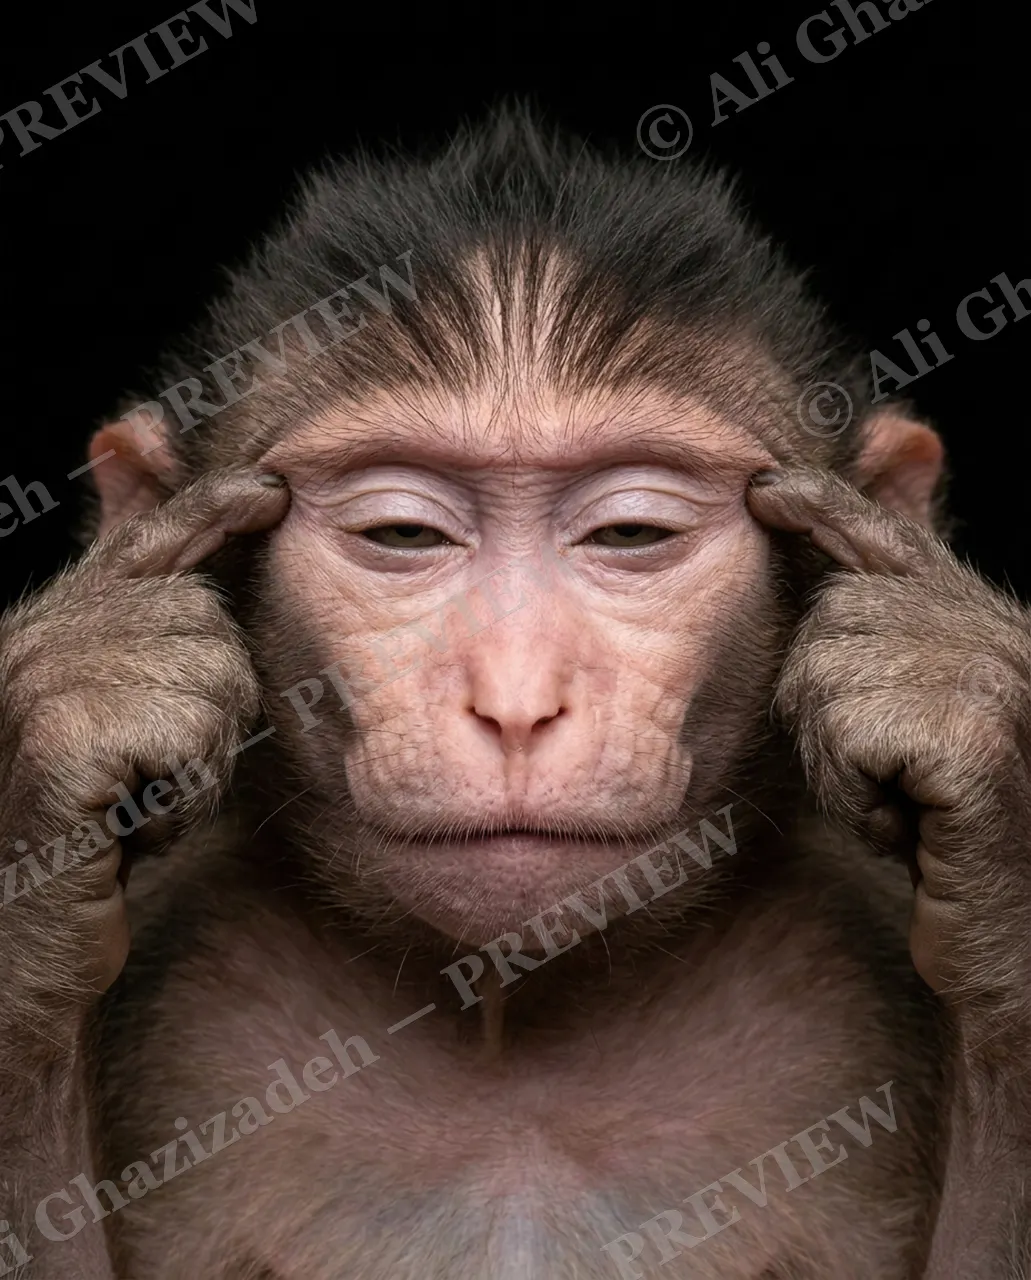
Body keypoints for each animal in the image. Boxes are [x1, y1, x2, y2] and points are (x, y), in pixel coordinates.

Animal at [0, 104, 1029, 1280]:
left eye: (630, 534)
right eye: (402, 535)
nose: (516, 701)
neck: (508, 1018)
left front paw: (957, 714)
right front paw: (80, 714)